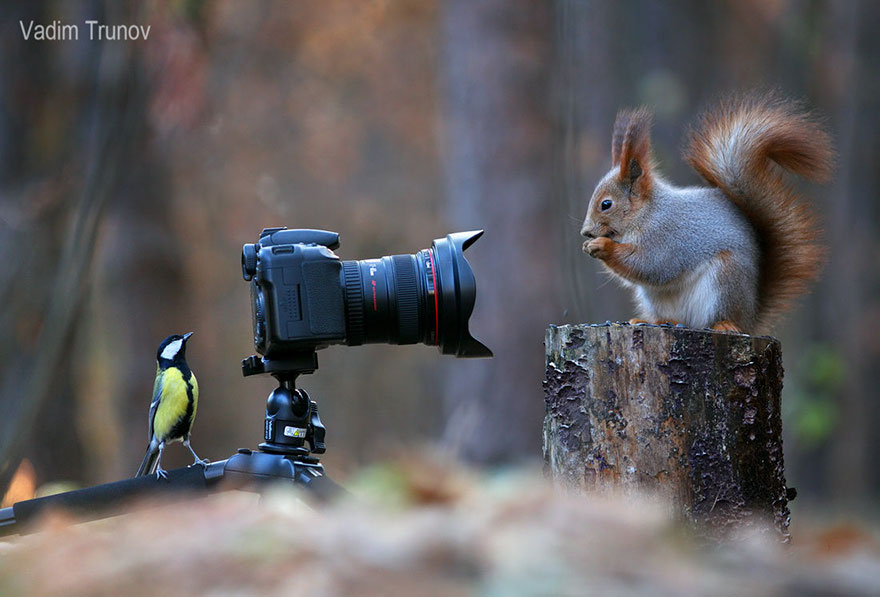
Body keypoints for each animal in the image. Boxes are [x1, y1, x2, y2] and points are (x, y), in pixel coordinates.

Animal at [580, 93, 832, 334]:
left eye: (606, 204)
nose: (586, 233)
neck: (646, 214)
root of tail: (750, 317)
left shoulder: (667, 236)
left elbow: (652, 265)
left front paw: (602, 246)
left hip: (725, 280)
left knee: (717, 317)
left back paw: (724, 325)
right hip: (657, 299)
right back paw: (654, 321)